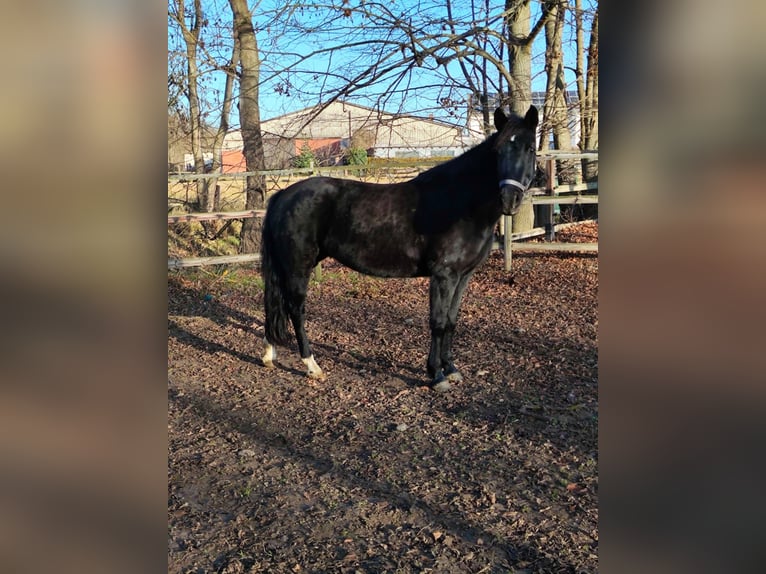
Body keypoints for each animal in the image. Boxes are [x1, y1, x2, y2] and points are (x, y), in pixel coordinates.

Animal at [260, 105, 539, 391]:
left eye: (530, 148)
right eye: (499, 151)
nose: (510, 199)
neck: (461, 204)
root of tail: (282, 196)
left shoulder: (463, 276)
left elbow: (451, 321)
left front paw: (451, 369)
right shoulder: (444, 275)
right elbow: (438, 322)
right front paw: (436, 375)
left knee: (274, 304)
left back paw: (270, 355)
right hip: (298, 266)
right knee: (295, 309)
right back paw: (312, 366)